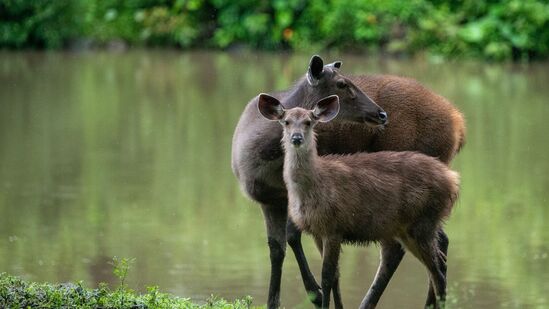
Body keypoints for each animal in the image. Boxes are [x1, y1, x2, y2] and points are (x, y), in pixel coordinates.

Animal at [229, 54, 464, 306]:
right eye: (341, 83)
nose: (382, 114)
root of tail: (458, 124)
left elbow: (297, 241)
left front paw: (316, 293)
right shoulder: (269, 202)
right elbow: (277, 250)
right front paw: (275, 301)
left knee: (397, 249)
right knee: (439, 242)